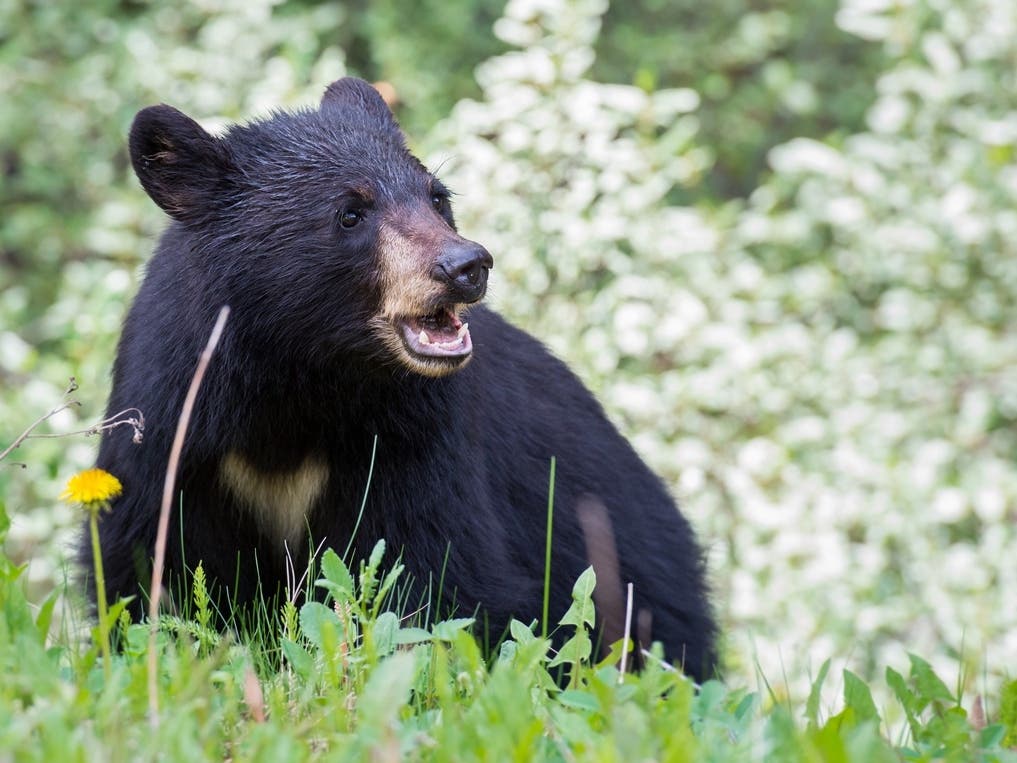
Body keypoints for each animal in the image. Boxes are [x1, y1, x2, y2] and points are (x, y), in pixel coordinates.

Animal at [84, 77, 716, 681]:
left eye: (438, 197)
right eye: (350, 213)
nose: (466, 266)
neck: (298, 377)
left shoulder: (413, 435)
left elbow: (435, 573)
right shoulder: (175, 424)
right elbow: (144, 564)